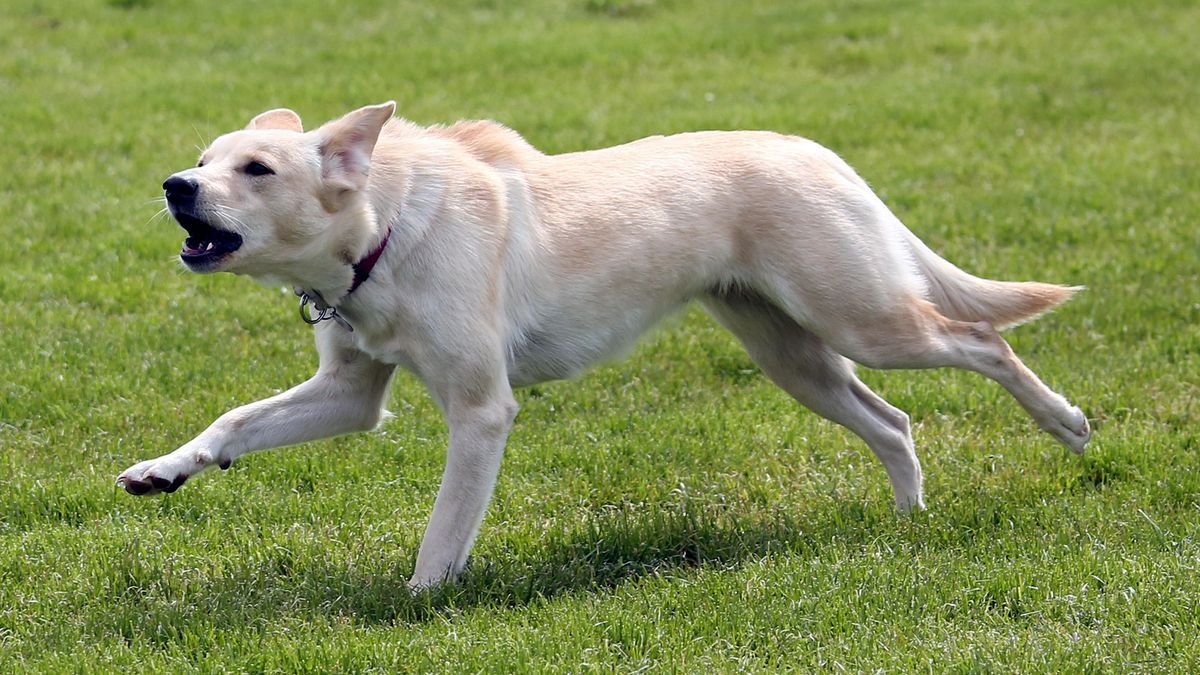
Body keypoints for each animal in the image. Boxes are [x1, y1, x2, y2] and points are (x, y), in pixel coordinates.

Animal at [117, 102, 1094, 586]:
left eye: (256, 169)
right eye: (203, 157)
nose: (173, 186)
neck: (386, 228)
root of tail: (818, 151)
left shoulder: (481, 410)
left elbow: (443, 531)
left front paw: (420, 604)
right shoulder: (351, 395)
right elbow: (234, 420)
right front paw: (163, 470)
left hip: (864, 319)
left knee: (981, 340)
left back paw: (1067, 424)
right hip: (795, 355)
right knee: (893, 422)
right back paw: (907, 522)